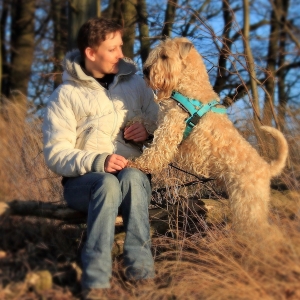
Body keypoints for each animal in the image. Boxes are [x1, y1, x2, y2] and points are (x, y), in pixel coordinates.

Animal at [127, 36, 288, 236]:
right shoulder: (163, 120)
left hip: (248, 204)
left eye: (164, 56)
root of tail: (266, 168)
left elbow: (156, 150)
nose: (146, 71)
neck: (188, 86)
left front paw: (136, 164)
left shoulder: (170, 128)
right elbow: (149, 125)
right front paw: (132, 124)